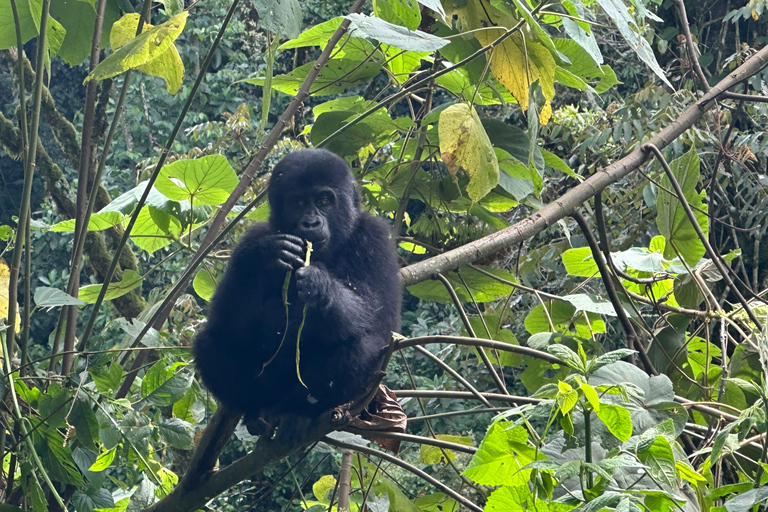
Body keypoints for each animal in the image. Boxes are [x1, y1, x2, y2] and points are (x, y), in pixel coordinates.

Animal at [192, 147, 402, 432]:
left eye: (324, 200)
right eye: (298, 202)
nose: (311, 223)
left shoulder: (375, 239)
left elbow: (378, 318)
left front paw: (320, 286)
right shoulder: (249, 241)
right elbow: (226, 324)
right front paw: (266, 255)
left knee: (365, 345)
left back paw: (297, 411)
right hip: (268, 390)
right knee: (209, 342)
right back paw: (255, 410)